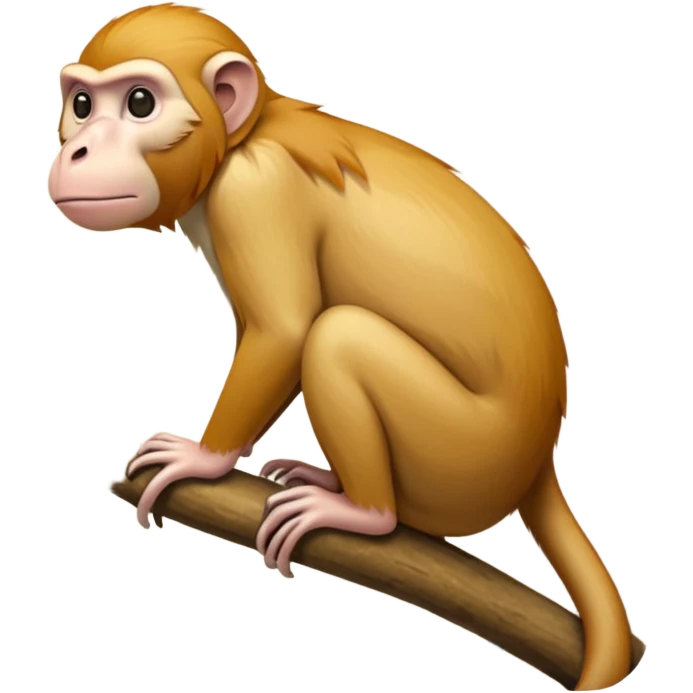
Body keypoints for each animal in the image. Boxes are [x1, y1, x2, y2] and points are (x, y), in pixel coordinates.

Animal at [47, 3, 632, 690]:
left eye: (139, 102)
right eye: (82, 104)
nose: (77, 148)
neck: (242, 139)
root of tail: (540, 459)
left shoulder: (256, 190)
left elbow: (285, 332)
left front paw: (201, 461)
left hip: (469, 458)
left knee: (340, 336)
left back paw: (367, 514)